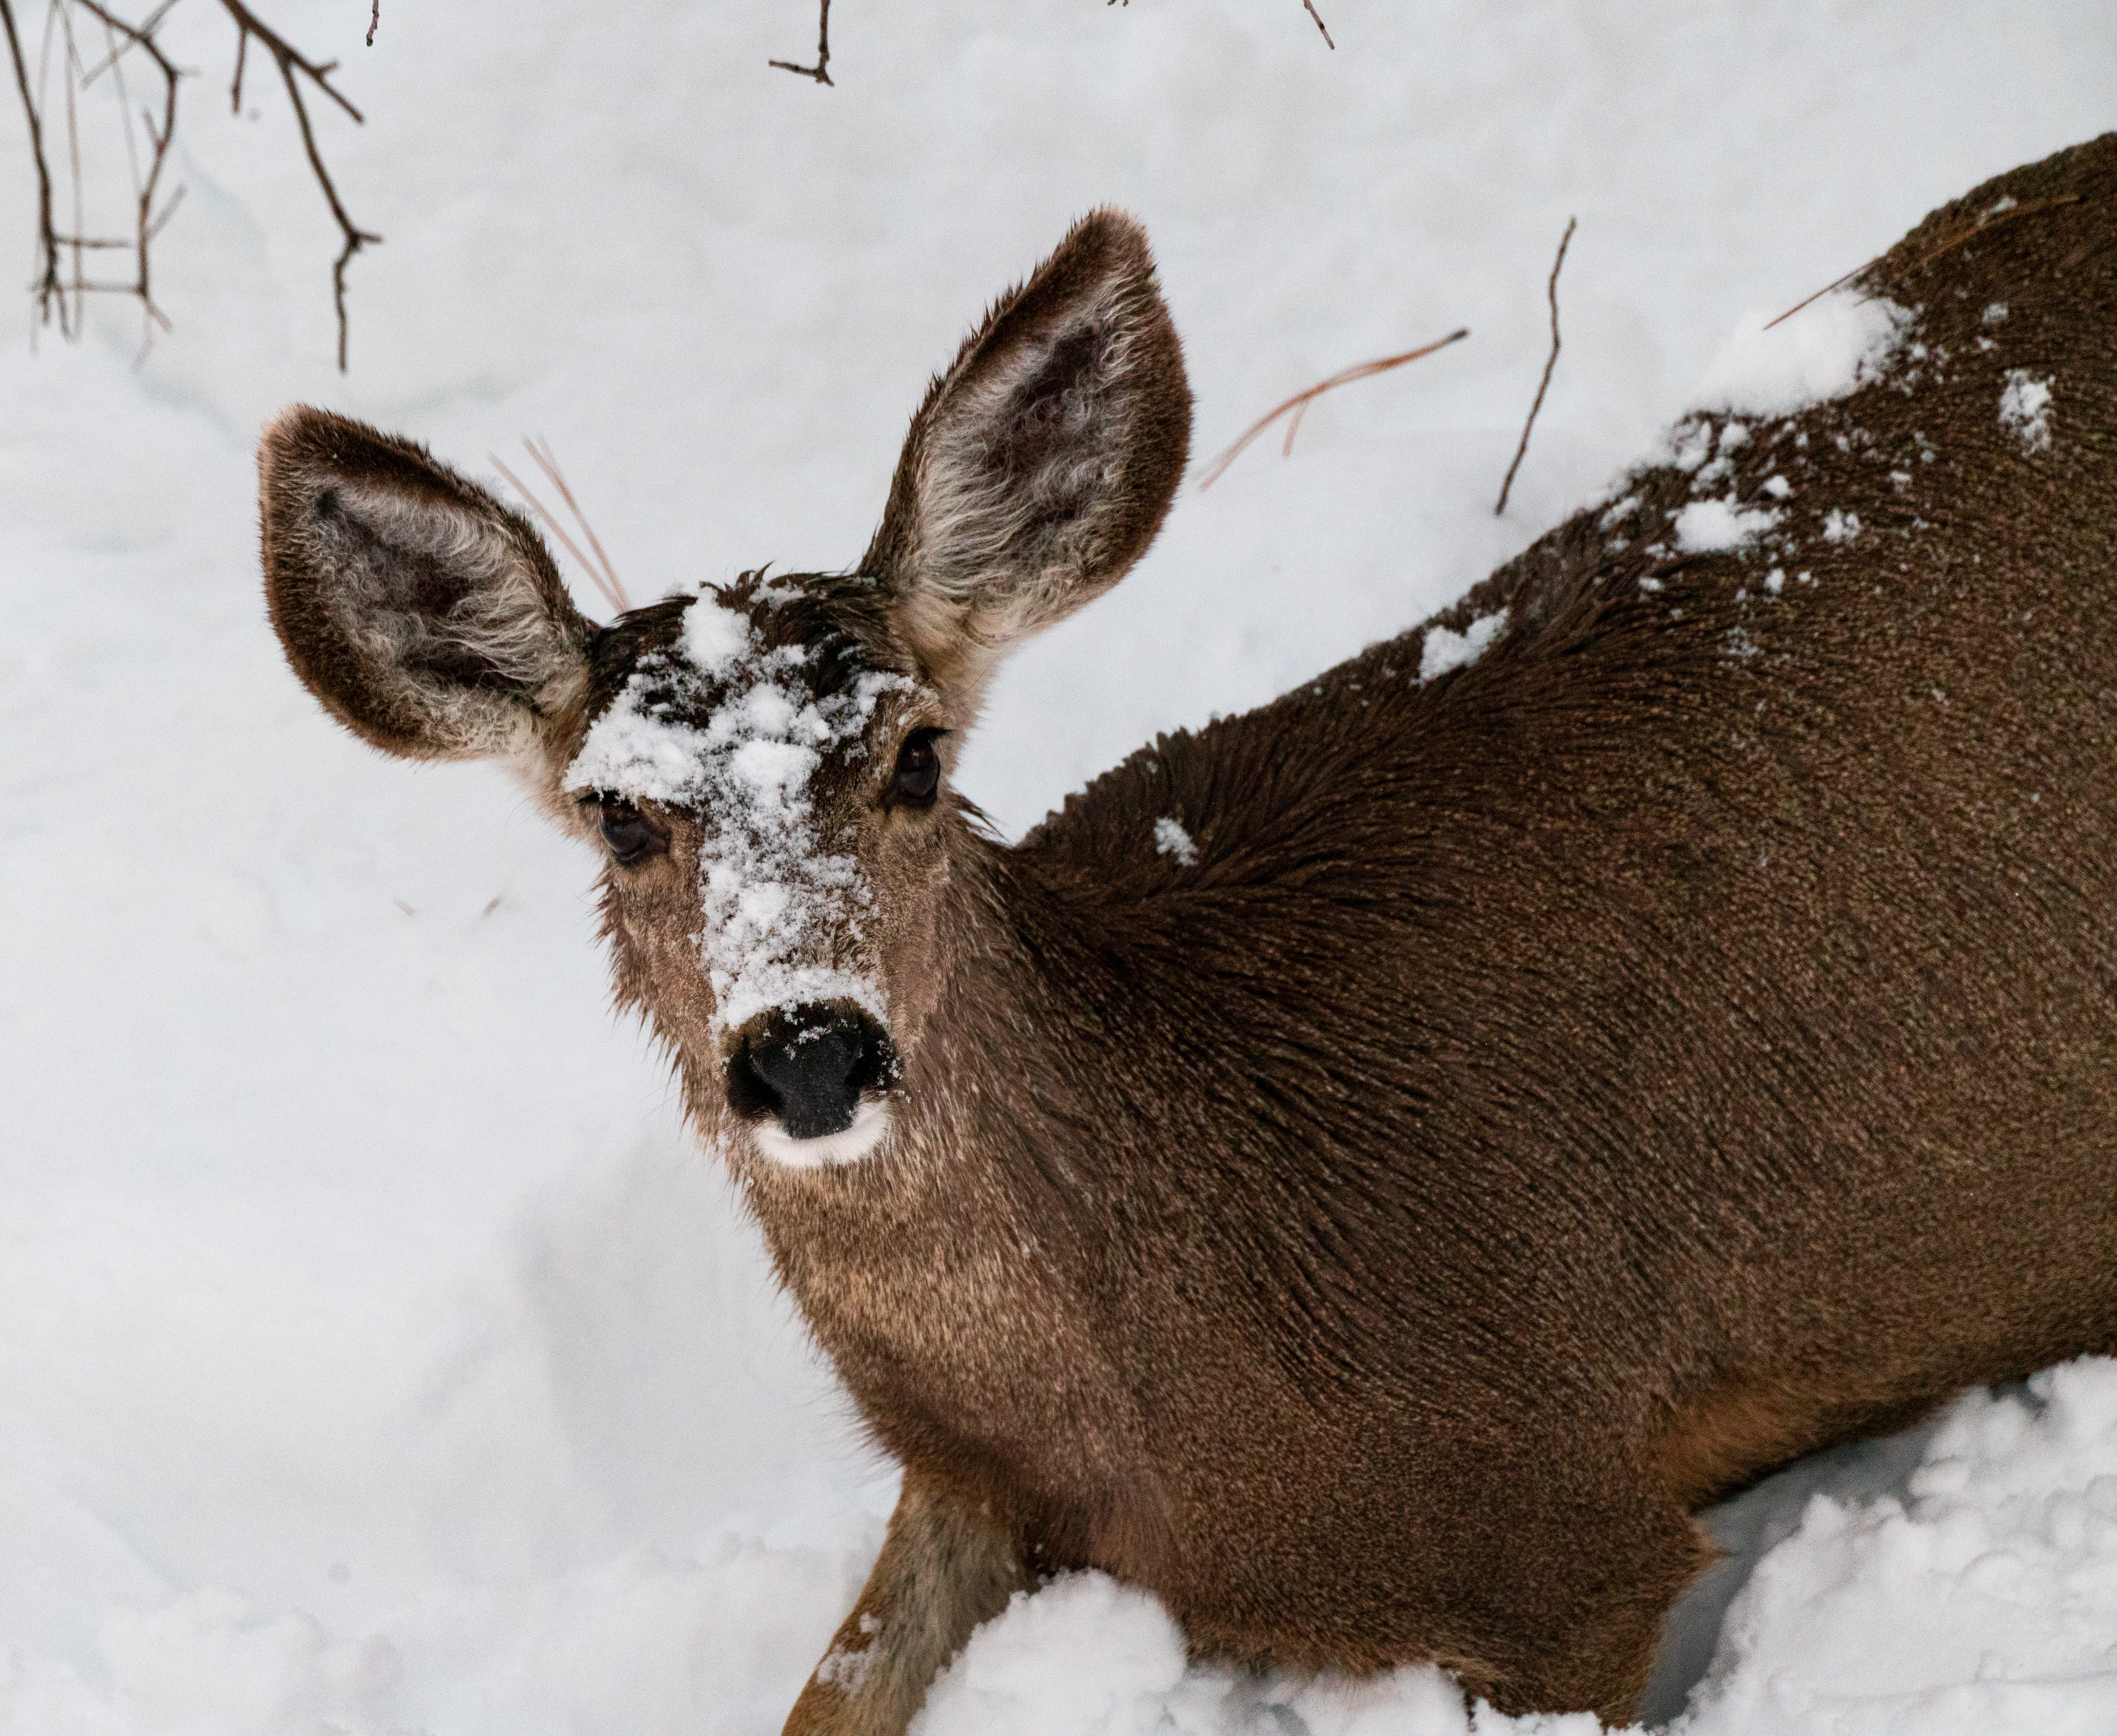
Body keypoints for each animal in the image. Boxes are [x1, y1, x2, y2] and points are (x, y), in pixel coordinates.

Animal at [259, 132, 2117, 1734]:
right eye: (621, 816)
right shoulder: (968, 1481)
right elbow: (826, 1694)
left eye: (916, 760)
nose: (810, 1050)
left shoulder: (1559, 1528)